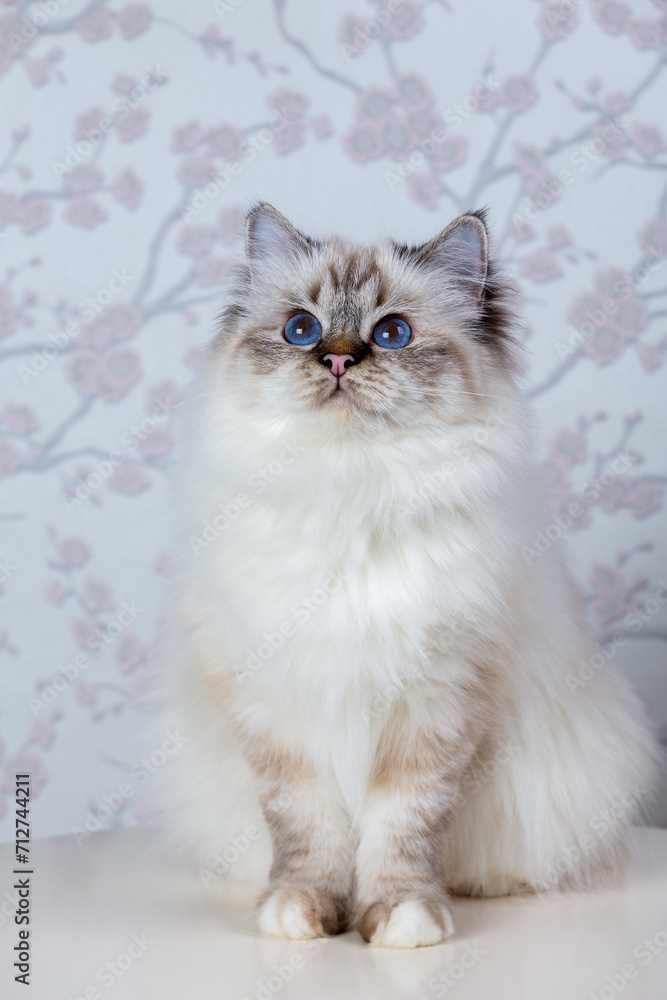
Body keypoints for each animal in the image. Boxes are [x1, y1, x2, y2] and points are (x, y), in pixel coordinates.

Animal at [154, 203, 660, 944]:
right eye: (300, 329)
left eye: (391, 334)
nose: (336, 358)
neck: (350, 492)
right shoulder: (278, 716)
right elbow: (306, 834)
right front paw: (302, 913)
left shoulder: (436, 709)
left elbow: (402, 830)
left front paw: (400, 920)